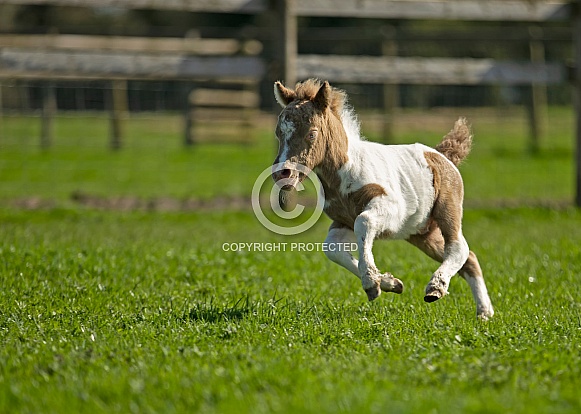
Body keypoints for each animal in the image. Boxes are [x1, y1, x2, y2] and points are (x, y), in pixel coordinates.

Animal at [272, 80, 494, 320]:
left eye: (312, 134)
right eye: (278, 133)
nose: (282, 173)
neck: (345, 171)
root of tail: (440, 154)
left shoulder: (390, 209)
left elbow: (363, 222)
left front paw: (371, 282)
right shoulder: (342, 221)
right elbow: (331, 248)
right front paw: (389, 282)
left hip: (447, 209)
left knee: (458, 247)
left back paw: (437, 288)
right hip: (420, 232)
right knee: (469, 257)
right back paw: (484, 312)